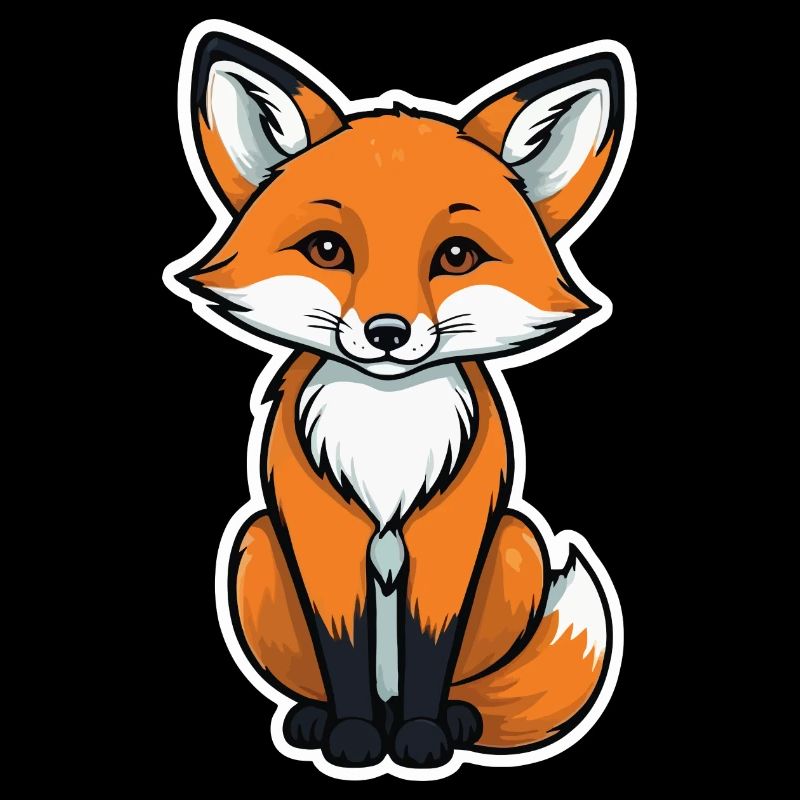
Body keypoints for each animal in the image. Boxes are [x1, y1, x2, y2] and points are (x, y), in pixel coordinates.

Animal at [165, 22, 633, 777]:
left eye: (456, 257)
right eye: (328, 249)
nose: (387, 333)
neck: (386, 432)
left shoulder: (451, 542)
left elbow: (430, 656)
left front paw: (420, 738)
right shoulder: (321, 540)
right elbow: (345, 654)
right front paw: (354, 739)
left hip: (515, 542)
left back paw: (457, 718)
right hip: (254, 548)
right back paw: (314, 719)